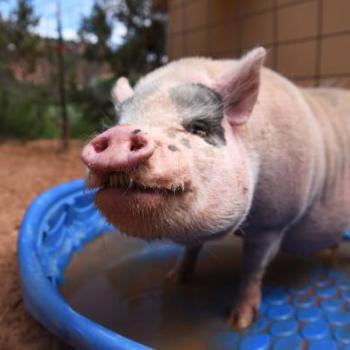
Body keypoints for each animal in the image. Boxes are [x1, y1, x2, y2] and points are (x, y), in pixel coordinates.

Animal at [80, 47, 350, 330]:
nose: (119, 133)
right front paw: (172, 279)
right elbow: (191, 248)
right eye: (122, 121)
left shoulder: (273, 223)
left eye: (199, 128)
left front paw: (239, 322)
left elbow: (252, 268)